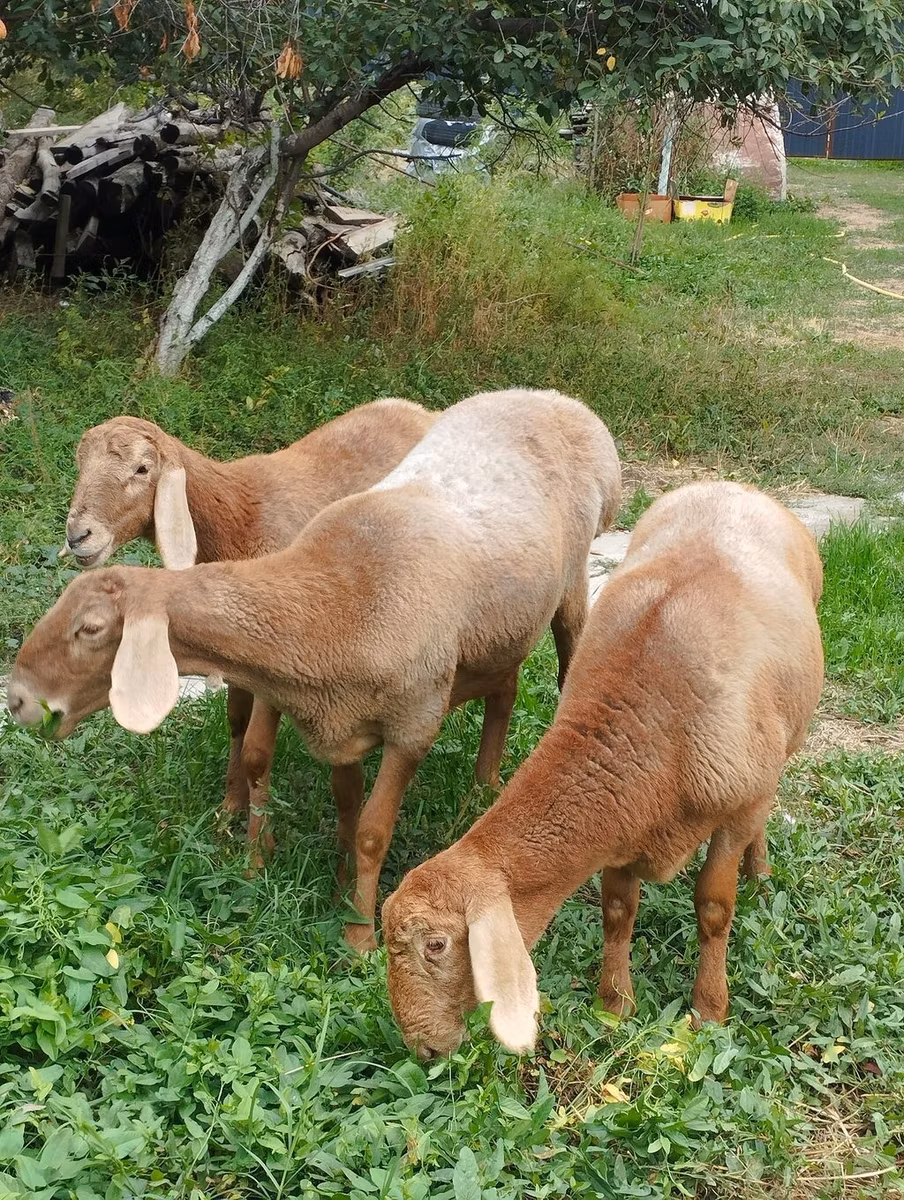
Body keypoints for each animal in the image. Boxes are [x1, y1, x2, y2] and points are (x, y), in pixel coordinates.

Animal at [60, 398, 435, 864]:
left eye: (142, 469)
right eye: (79, 463)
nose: (78, 535)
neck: (240, 517)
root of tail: (415, 408)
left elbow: (258, 754)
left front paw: (258, 853)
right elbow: (236, 723)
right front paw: (228, 811)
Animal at [381, 481, 824, 1059]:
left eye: (435, 945)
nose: (423, 1051)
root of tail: (731, 485)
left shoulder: (735, 806)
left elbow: (713, 908)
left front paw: (709, 1010)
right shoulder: (622, 822)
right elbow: (617, 909)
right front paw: (614, 1005)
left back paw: (761, 874)